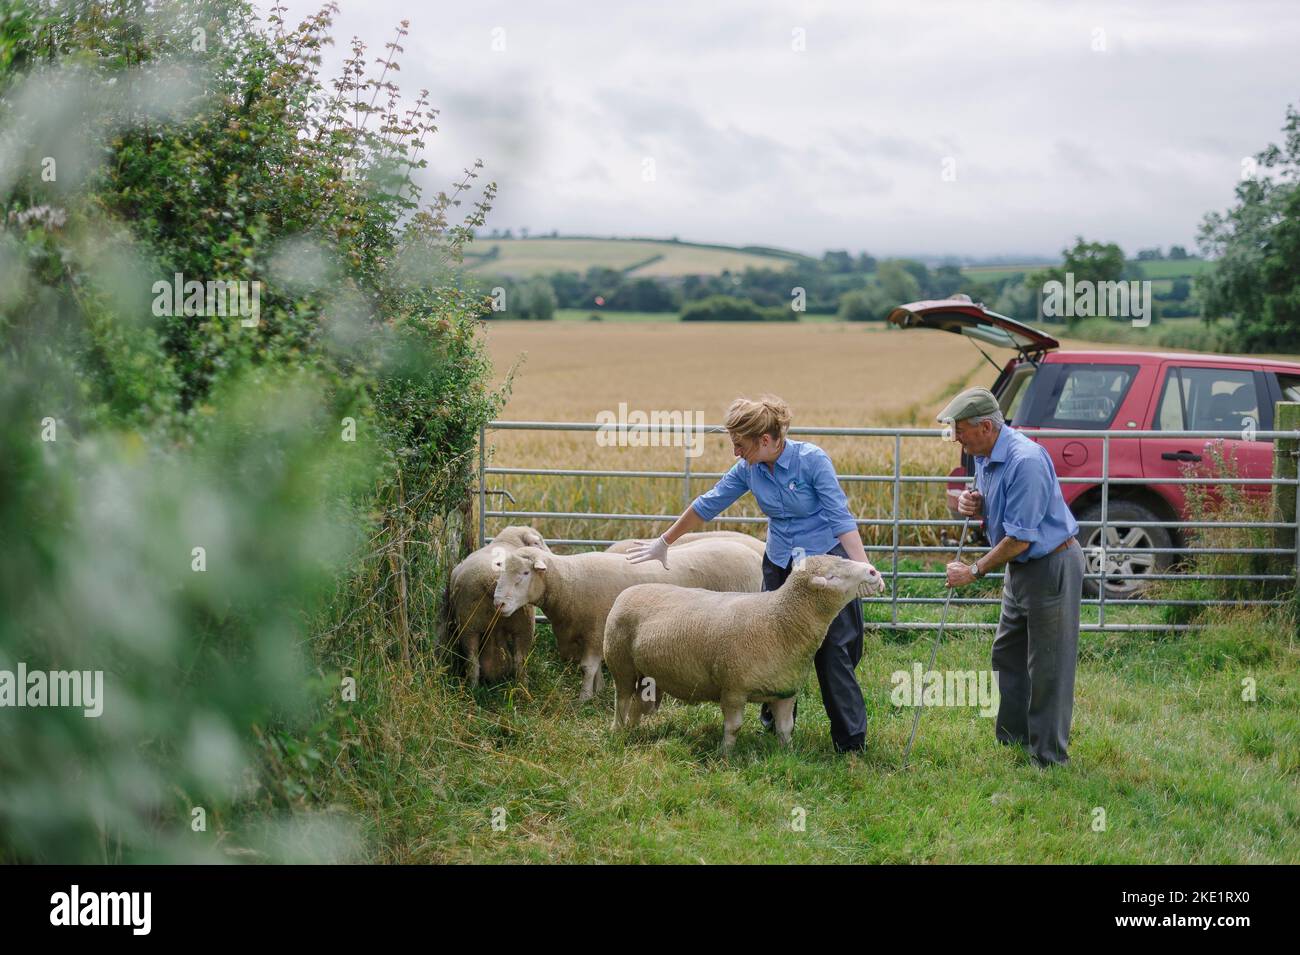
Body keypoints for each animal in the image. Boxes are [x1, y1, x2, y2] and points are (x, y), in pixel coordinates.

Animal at [447, 527, 548, 686]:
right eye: (538, 542)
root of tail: (490, 579)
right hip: (525, 622)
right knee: (520, 660)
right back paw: (523, 686)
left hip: (467, 625)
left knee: (472, 661)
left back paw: (473, 687)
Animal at [493, 540, 759, 706]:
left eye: (525, 573)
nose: (498, 603)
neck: (568, 581)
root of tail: (753, 554)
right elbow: (596, 667)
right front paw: (598, 690)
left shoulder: (596, 630)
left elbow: (587, 667)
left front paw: (584, 698)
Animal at [598, 553, 883, 753]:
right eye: (832, 576)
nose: (872, 571)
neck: (780, 621)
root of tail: (628, 591)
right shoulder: (733, 689)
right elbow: (734, 727)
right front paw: (726, 754)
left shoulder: (786, 691)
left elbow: (786, 728)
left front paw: (788, 753)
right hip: (620, 663)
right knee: (621, 700)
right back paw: (617, 731)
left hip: (649, 675)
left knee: (637, 703)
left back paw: (633, 730)